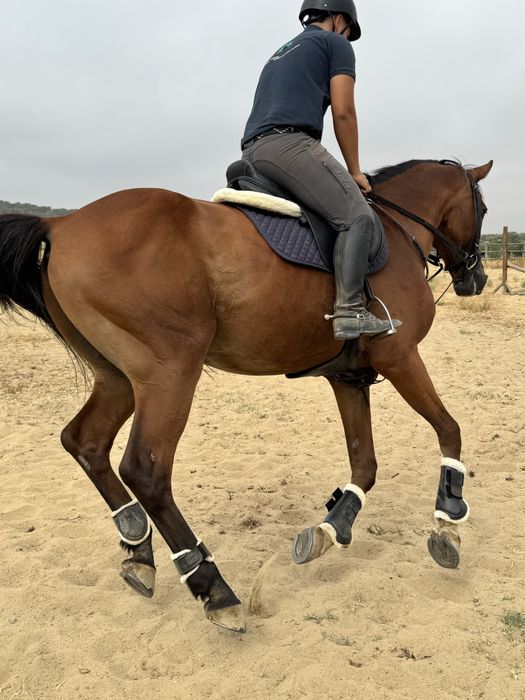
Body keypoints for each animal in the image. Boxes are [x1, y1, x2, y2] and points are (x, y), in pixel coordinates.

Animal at [0, 158, 492, 633]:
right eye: (483, 210)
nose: (478, 279)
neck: (395, 229)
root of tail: (61, 225)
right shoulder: (400, 357)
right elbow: (449, 430)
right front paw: (448, 521)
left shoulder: (348, 378)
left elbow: (364, 464)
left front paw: (332, 527)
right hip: (170, 372)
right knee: (145, 470)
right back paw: (212, 587)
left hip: (119, 378)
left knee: (85, 442)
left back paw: (137, 547)